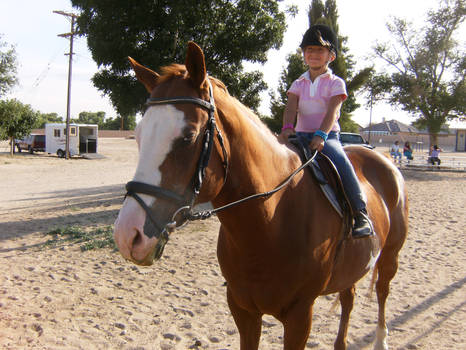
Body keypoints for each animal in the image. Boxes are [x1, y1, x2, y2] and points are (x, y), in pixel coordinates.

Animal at [113, 42, 408, 348]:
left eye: (188, 136)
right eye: (139, 136)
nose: (128, 236)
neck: (271, 220)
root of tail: (383, 161)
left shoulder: (300, 316)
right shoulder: (243, 309)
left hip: (390, 255)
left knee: (382, 291)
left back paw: (381, 339)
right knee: (348, 298)